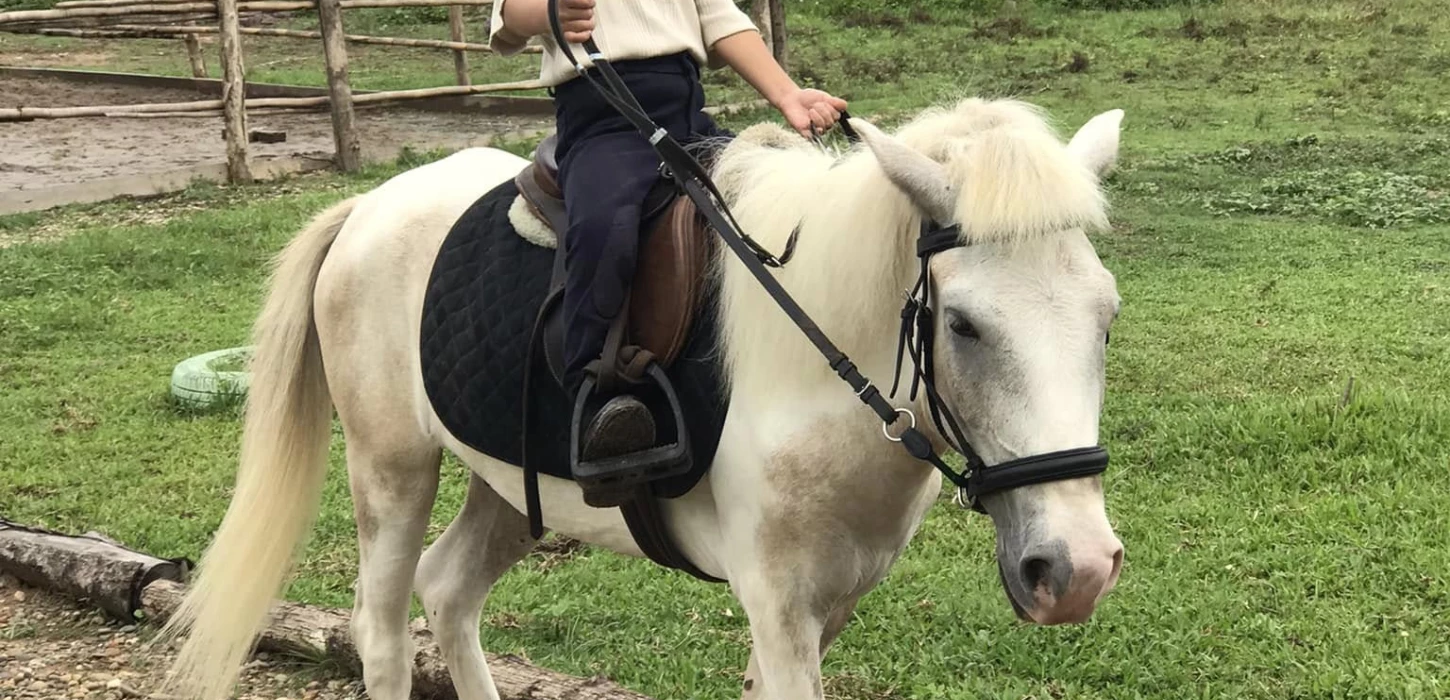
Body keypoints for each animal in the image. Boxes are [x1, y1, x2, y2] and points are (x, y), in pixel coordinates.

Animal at [161, 97, 1131, 700]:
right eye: (962, 324)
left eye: (1108, 316)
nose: (1074, 570)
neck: (817, 376)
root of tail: (365, 208)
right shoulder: (778, 603)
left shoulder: (832, 602)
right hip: (390, 467)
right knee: (385, 628)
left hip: (510, 484)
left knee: (449, 591)